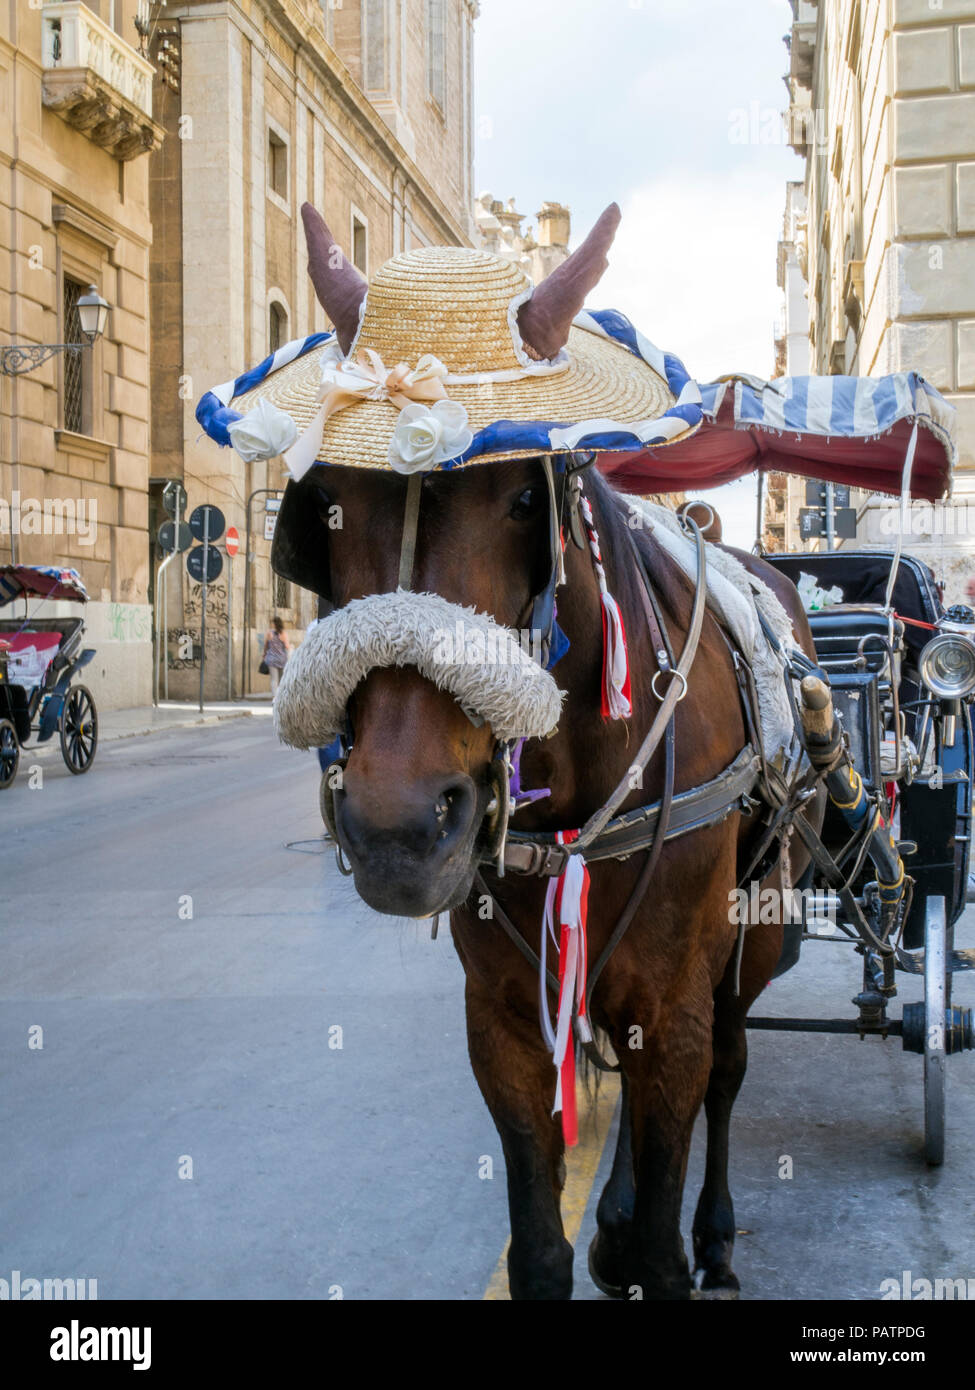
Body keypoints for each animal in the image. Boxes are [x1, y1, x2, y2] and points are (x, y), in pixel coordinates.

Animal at [285, 458, 817, 1301]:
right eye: (328, 505)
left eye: (526, 500)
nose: (397, 832)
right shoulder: (503, 1015)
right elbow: (537, 1254)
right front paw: (606, 1230)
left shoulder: (676, 1005)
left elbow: (662, 1254)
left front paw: (662, 1241)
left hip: (752, 941)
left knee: (727, 1072)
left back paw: (714, 1235)